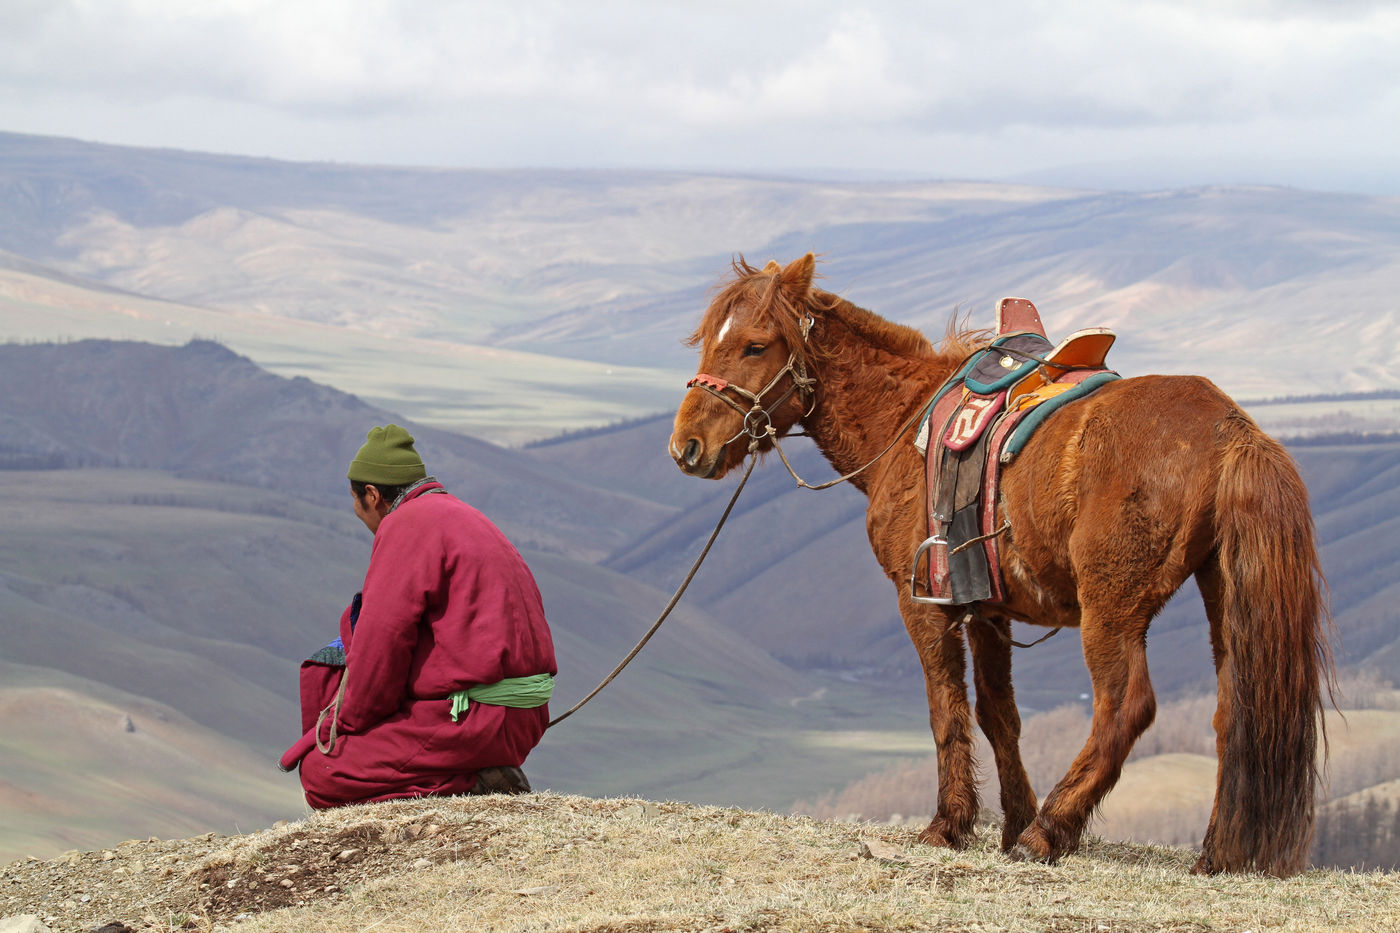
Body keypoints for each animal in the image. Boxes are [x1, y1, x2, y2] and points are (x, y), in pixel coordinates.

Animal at [672, 252, 1327, 874]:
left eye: (755, 344)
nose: (687, 447)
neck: (904, 419)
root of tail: (1229, 429)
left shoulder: (923, 603)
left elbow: (945, 708)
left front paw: (952, 824)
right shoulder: (987, 608)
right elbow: (998, 714)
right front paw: (1010, 819)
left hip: (1111, 609)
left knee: (1126, 706)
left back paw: (1050, 832)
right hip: (1224, 594)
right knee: (1234, 712)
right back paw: (1214, 853)